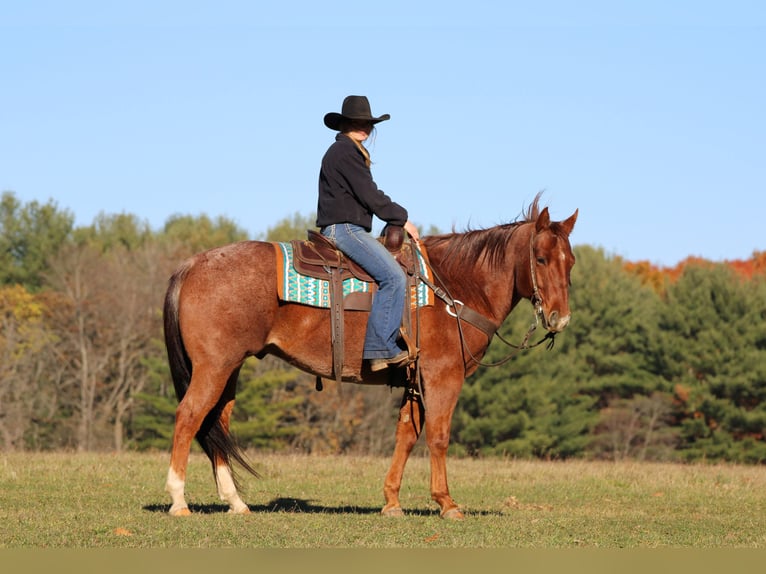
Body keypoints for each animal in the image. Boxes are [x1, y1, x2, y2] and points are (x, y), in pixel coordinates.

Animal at [162, 195, 578, 519]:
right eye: (541, 259)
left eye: (570, 261)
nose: (559, 318)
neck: (455, 287)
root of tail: (191, 265)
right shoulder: (442, 375)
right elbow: (438, 435)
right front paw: (446, 503)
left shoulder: (415, 379)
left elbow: (407, 434)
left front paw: (392, 501)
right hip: (214, 368)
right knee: (190, 417)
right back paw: (179, 500)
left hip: (229, 369)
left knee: (217, 422)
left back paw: (235, 502)